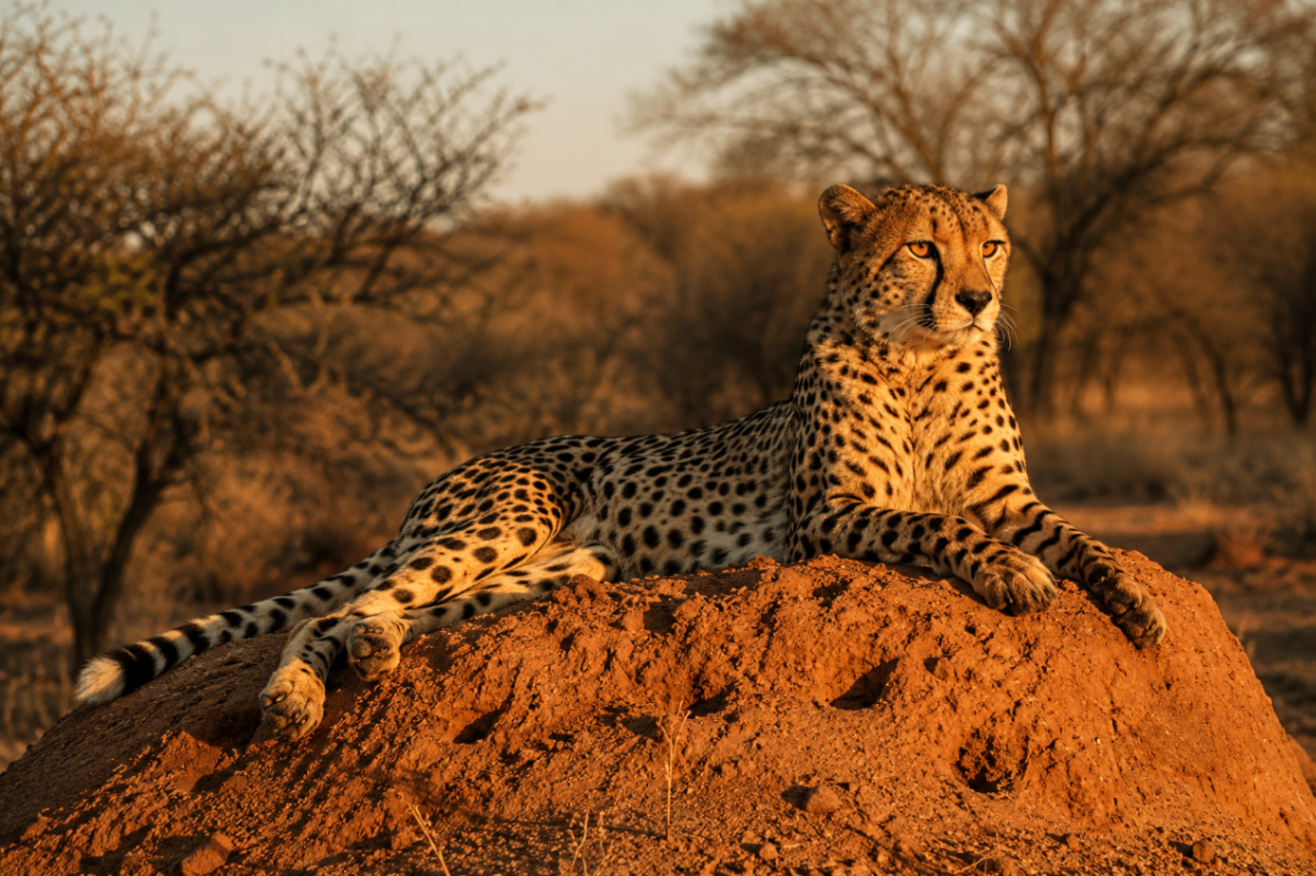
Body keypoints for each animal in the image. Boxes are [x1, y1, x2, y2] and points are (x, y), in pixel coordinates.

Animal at [76, 182, 1167, 741]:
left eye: (993, 246)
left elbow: (1079, 538)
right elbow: (934, 521)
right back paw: (293, 698)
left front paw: (1138, 606)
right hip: (509, 519)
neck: (920, 356)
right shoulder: (828, 513)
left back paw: (367, 656)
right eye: (922, 251)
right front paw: (1010, 573)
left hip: (554, 567)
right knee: (332, 610)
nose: (979, 301)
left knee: (381, 613)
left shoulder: (1008, 493)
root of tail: (443, 476)